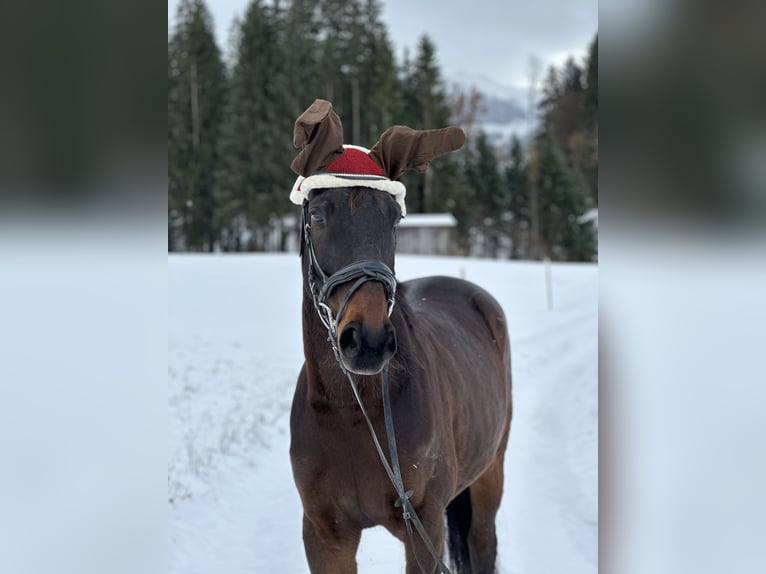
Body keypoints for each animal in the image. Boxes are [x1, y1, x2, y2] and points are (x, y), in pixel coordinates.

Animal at [286, 100, 510, 574]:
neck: (353, 413)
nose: (368, 340)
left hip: (489, 475)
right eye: (318, 215)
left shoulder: (423, 529)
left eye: (394, 219)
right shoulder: (325, 537)